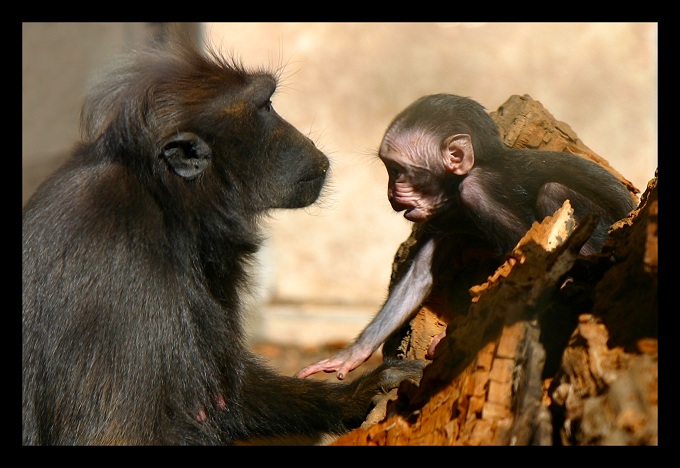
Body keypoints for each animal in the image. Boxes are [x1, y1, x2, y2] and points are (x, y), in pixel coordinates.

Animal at [21, 37, 422, 446]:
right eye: (266, 106)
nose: (307, 140)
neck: (164, 202)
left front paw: (358, 394)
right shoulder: (116, 280)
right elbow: (111, 435)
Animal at [298, 93, 636, 382]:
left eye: (397, 170)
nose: (391, 192)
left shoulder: (477, 191)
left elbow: (526, 257)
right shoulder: (444, 212)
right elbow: (419, 277)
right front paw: (351, 355)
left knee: (554, 193)